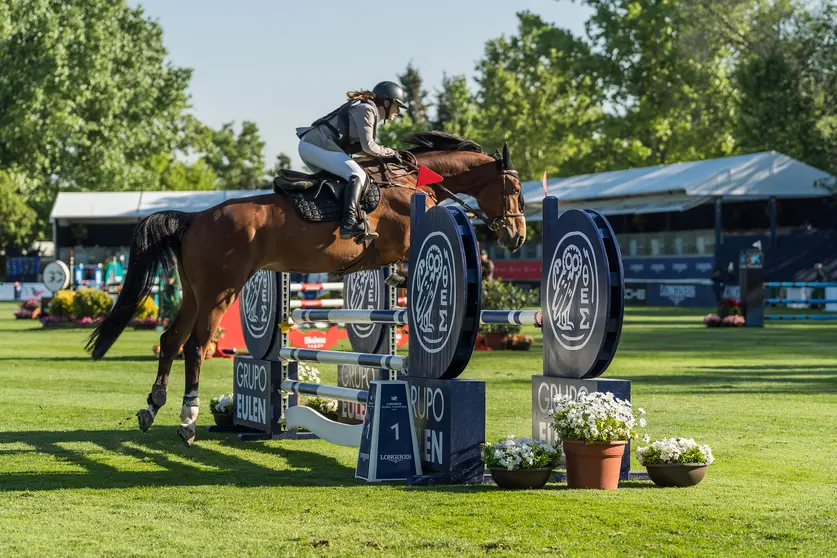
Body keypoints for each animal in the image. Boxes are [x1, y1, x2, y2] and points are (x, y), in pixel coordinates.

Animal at [85, 131, 526, 445]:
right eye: (516, 190)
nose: (517, 235)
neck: (410, 184)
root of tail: (194, 218)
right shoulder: (400, 239)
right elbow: (405, 258)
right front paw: (401, 278)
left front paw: (395, 281)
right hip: (219, 294)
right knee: (194, 347)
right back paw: (188, 421)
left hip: (195, 294)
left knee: (170, 340)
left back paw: (152, 409)